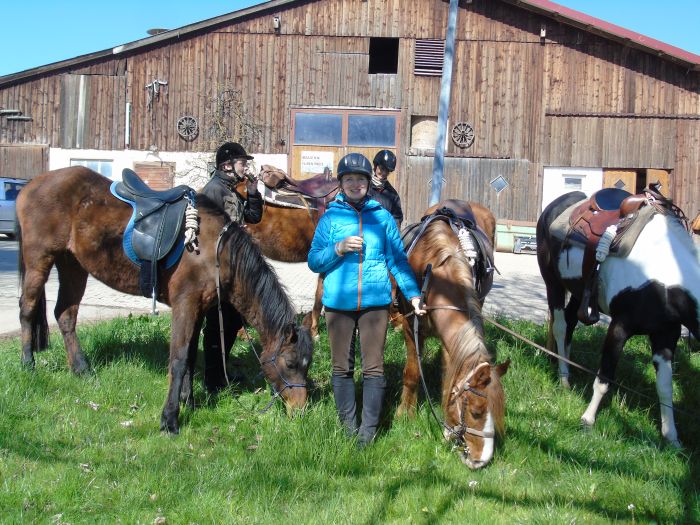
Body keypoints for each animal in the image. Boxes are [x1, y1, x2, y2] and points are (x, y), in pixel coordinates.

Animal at [16, 168, 314, 434]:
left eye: (307, 365)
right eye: (290, 364)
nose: (300, 411)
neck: (216, 250)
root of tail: (34, 183)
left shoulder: (199, 309)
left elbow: (191, 357)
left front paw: (188, 402)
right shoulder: (185, 305)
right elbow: (179, 360)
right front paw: (170, 419)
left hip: (73, 265)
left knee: (66, 315)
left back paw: (81, 369)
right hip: (39, 260)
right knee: (27, 310)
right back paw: (28, 364)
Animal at [396, 199, 512, 468]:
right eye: (476, 411)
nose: (482, 460)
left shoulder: (453, 342)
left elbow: (449, 378)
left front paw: (448, 429)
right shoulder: (410, 327)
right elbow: (412, 373)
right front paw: (405, 413)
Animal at [540, 188, 696, 446]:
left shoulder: (666, 334)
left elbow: (666, 387)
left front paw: (671, 437)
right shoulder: (619, 327)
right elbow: (604, 378)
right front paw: (587, 420)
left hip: (579, 291)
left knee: (570, 322)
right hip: (553, 282)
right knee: (561, 326)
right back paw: (564, 379)